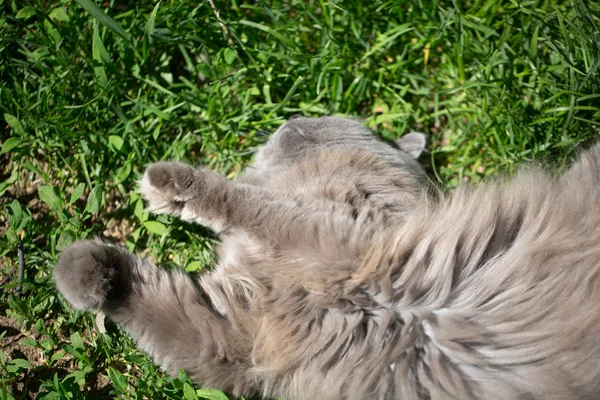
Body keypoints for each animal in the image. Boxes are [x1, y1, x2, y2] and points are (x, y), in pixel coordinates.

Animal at [54, 115, 600, 400]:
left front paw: (165, 183)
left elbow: (236, 198)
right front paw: (82, 270)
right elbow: (150, 302)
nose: (293, 115)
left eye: (327, 120)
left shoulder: (318, 235)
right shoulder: (226, 335)